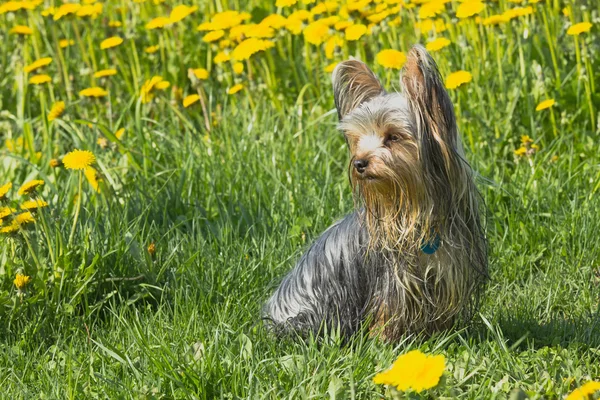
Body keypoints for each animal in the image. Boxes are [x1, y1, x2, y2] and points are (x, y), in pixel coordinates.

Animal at [262, 46, 488, 340]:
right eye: (358, 138)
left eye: (393, 137)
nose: (359, 163)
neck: (415, 208)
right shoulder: (393, 284)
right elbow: (386, 314)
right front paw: (383, 341)